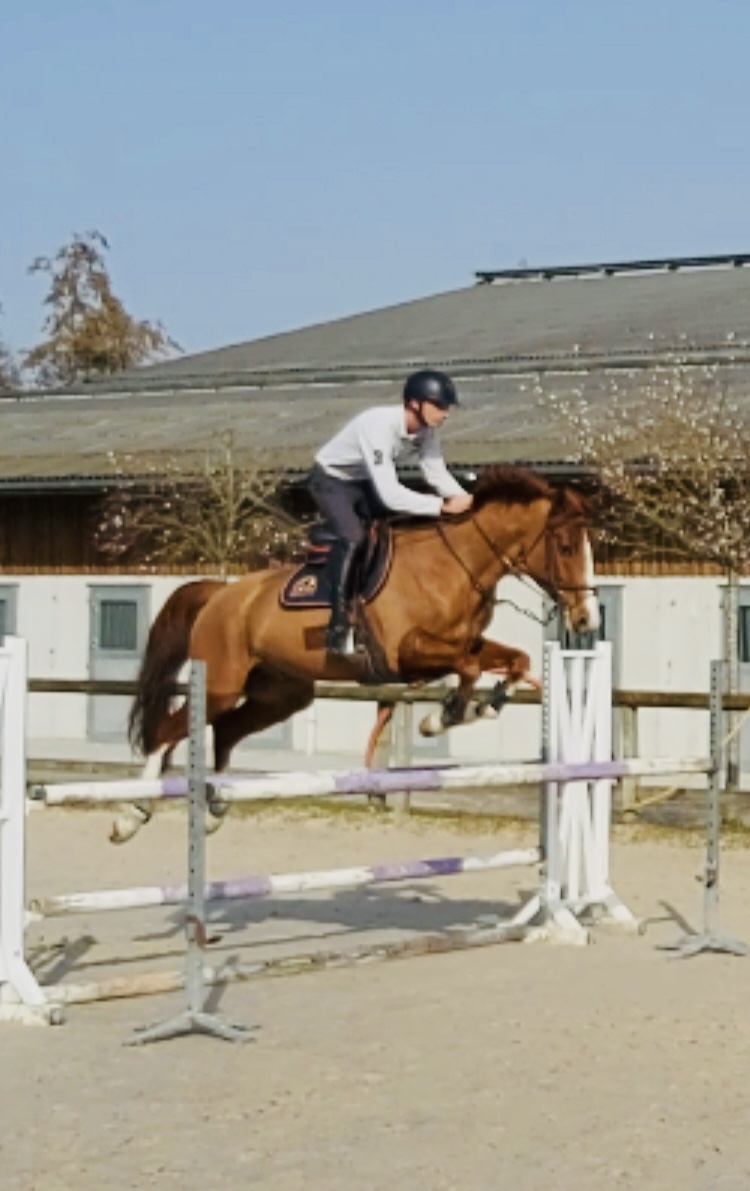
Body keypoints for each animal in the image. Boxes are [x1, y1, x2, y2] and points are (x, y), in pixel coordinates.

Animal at [111, 465, 599, 843]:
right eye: (566, 547)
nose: (586, 620)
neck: (451, 566)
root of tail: (221, 594)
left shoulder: (462, 643)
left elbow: (515, 660)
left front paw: (479, 707)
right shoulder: (406, 654)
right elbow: (468, 667)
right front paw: (443, 715)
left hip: (282, 693)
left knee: (227, 731)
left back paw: (213, 812)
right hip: (219, 683)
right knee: (167, 733)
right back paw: (131, 815)